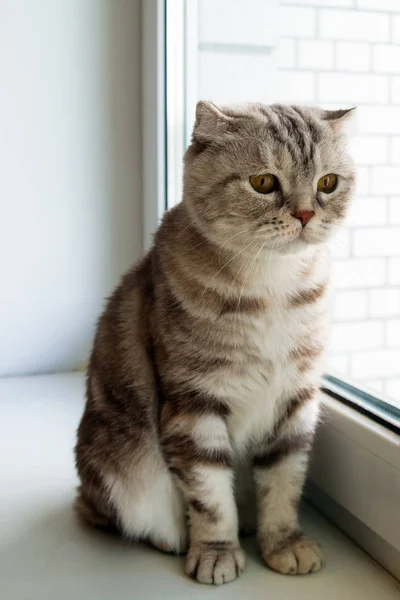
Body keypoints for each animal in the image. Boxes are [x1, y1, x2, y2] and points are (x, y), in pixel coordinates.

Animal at [75, 101, 356, 584]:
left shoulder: (296, 398)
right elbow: (210, 496)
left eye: (327, 183)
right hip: (117, 466)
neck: (273, 287)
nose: (305, 215)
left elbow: (284, 482)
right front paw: (216, 551)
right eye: (263, 182)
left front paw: (284, 543)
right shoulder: (194, 402)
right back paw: (171, 537)